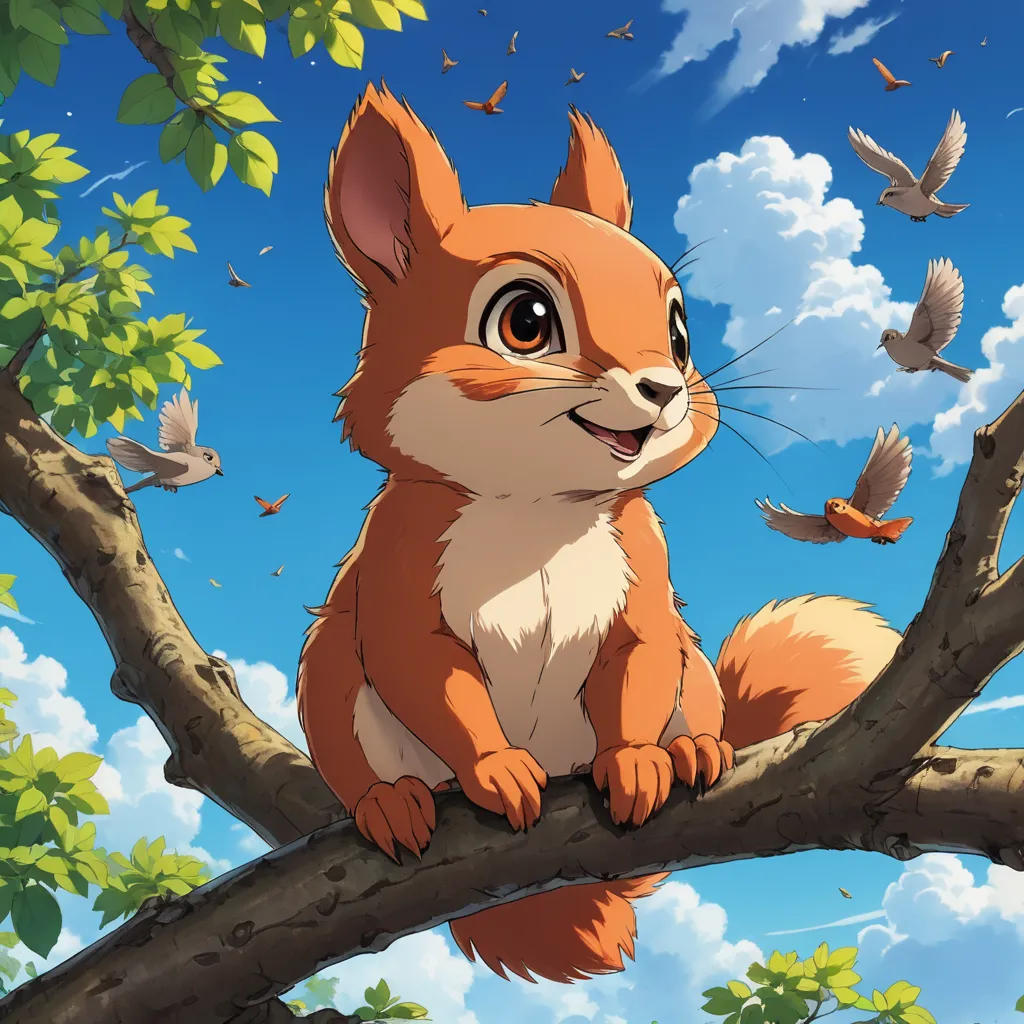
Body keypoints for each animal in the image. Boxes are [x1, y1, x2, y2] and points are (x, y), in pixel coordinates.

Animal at [297, 82, 903, 985]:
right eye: (524, 321)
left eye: (680, 331)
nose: (663, 387)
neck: (538, 507)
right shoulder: (401, 563)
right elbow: (425, 668)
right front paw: (493, 767)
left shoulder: (642, 573)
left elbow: (639, 657)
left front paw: (638, 760)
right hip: (336, 686)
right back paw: (391, 803)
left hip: (695, 681)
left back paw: (694, 752)